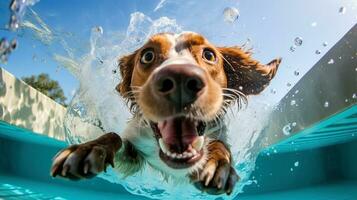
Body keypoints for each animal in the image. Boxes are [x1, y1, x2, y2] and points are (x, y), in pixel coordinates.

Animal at [50, 31, 280, 195]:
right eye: (147, 55)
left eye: (209, 54)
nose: (180, 78)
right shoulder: (133, 153)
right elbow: (114, 136)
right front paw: (88, 148)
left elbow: (219, 145)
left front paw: (217, 163)